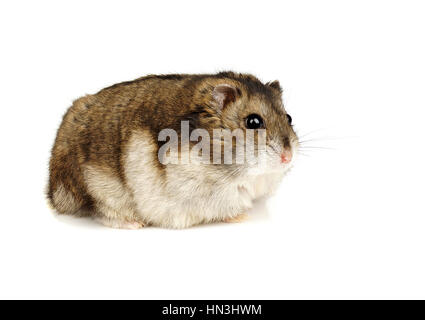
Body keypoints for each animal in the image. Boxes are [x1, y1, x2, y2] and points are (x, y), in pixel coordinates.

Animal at [47, 71, 298, 229]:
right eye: (253, 122)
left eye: (289, 117)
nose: (288, 157)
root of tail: (52, 187)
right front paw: (242, 217)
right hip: (97, 189)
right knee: (99, 212)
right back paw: (135, 224)